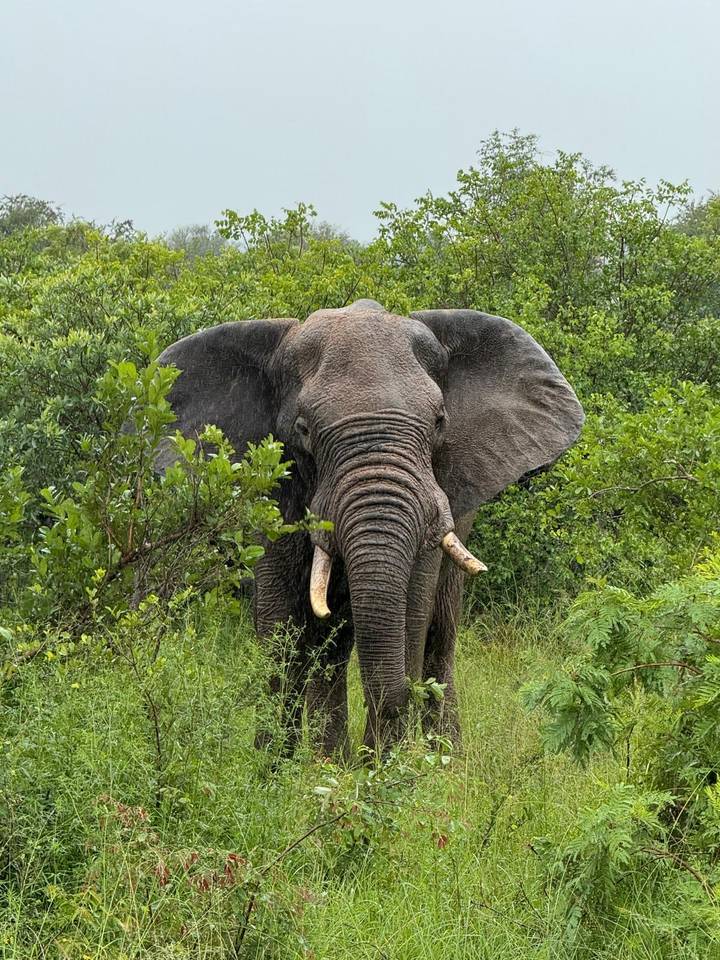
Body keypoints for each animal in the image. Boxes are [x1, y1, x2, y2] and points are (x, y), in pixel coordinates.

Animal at [157, 299, 583, 756]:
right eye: (303, 430)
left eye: (439, 422)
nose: (400, 699)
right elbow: (279, 619)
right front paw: (271, 766)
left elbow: (412, 612)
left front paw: (388, 768)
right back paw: (332, 759)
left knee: (437, 633)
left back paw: (441, 756)